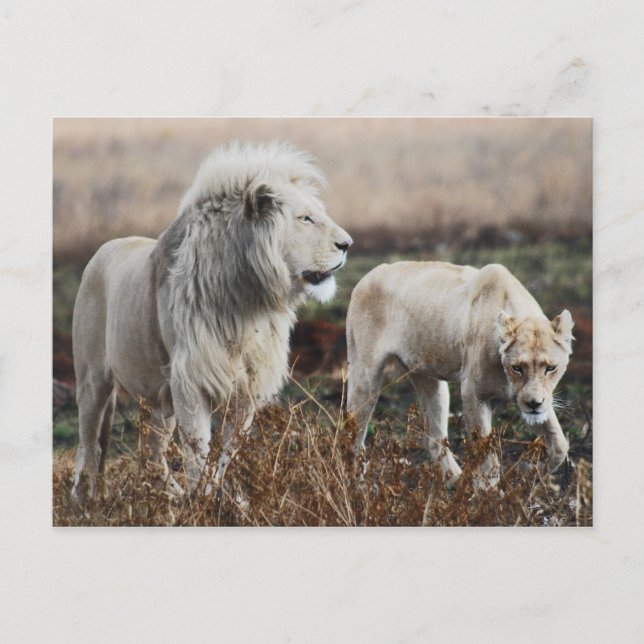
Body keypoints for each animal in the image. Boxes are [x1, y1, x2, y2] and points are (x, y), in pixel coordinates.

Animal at [72, 141, 353, 496]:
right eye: (305, 218)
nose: (348, 244)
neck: (247, 301)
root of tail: (104, 248)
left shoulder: (246, 386)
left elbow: (227, 453)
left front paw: (217, 496)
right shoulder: (189, 381)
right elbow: (198, 452)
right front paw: (200, 498)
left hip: (159, 400)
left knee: (151, 456)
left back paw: (171, 496)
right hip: (93, 381)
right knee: (89, 446)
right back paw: (86, 498)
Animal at [346, 261, 573, 486]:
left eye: (550, 368)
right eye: (517, 367)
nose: (534, 404)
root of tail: (370, 274)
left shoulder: (536, 400)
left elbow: (560, 445)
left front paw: (526, 472)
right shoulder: (473, 393)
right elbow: (486, 457)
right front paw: (489, 493)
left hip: (429, 379)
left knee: (434, 439)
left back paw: (454, 479)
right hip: (365, 377)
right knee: (354, 435)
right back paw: (357, 486)